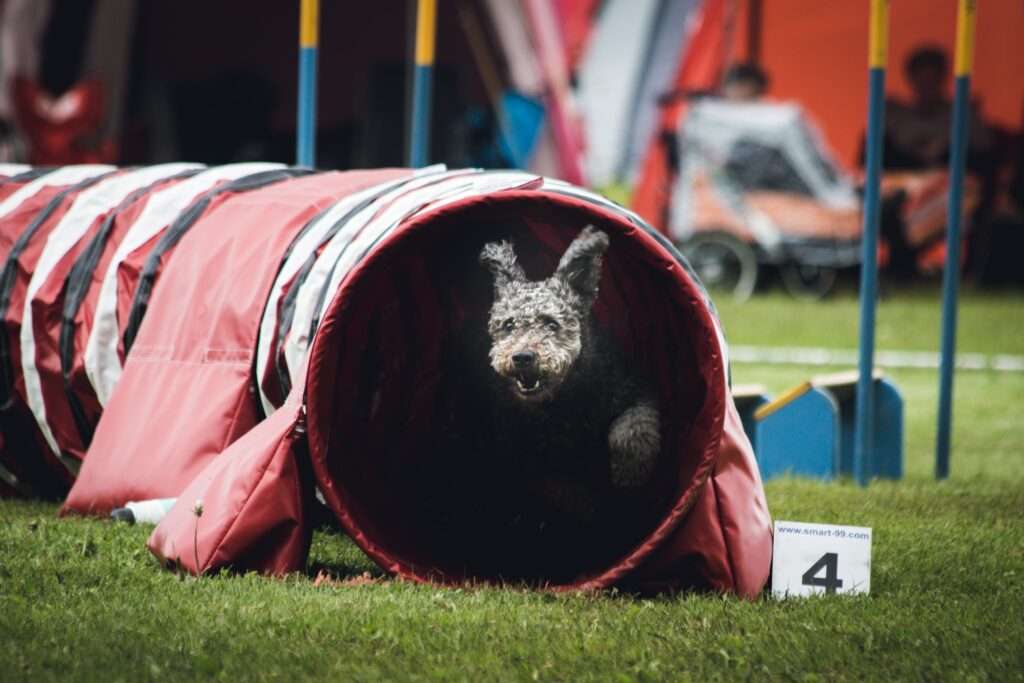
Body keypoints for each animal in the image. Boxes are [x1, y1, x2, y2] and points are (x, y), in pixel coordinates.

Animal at [481, 225, 663, 524]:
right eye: (509, 325)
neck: (564, 398)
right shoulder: (526, 456)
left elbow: (631, 429)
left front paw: (629, 475)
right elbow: (560, 488)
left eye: (552, 324)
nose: (522, 357)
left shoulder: (636, 393)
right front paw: (591, 508)